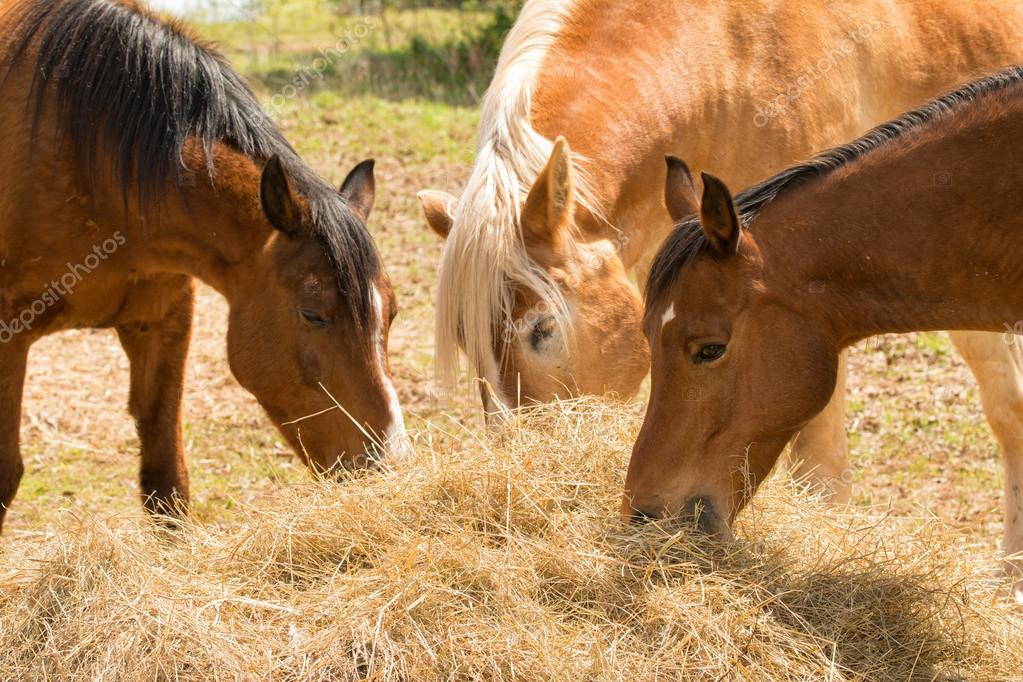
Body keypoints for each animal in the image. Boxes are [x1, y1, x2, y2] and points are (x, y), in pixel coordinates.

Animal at [0, 0, 406, 532]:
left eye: (392, 313)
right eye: (313, 314)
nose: (387, 465)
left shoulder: (165, 322)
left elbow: (166, 484)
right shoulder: (8, 338)